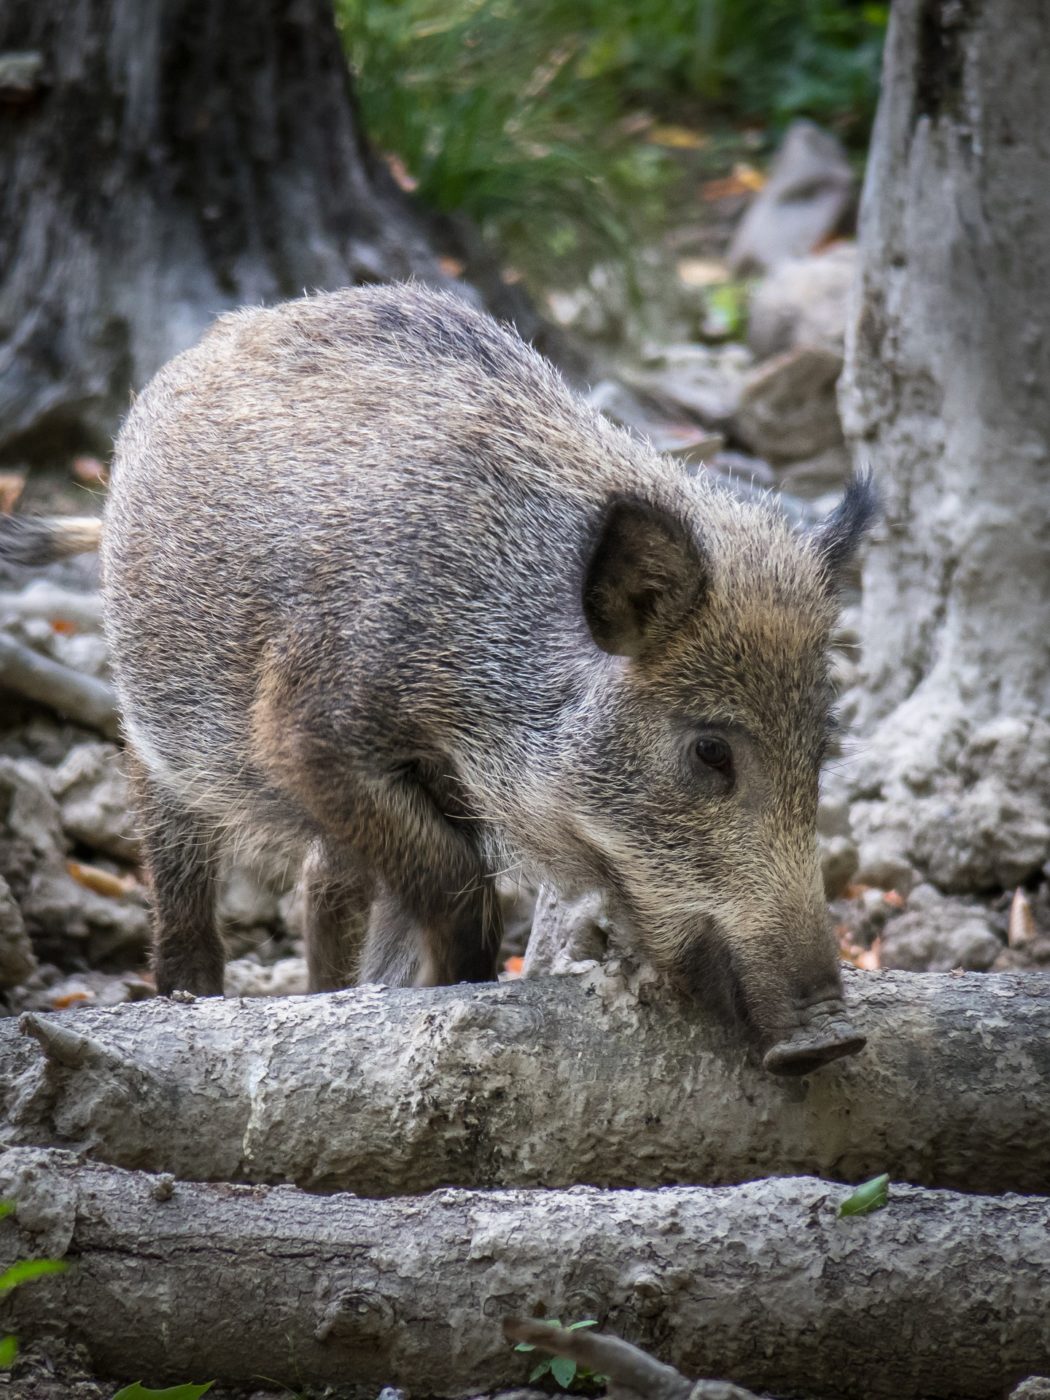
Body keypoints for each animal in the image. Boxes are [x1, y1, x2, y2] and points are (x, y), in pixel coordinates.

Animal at [1, 284, 874, 1074]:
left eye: (821, 751)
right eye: (709, 751)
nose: (833, 1037)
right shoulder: (306, 734)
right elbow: (457, 881)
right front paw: (461, 983)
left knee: (323, 884)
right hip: (160, 741)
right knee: (185, 902)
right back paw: (193, 1000)